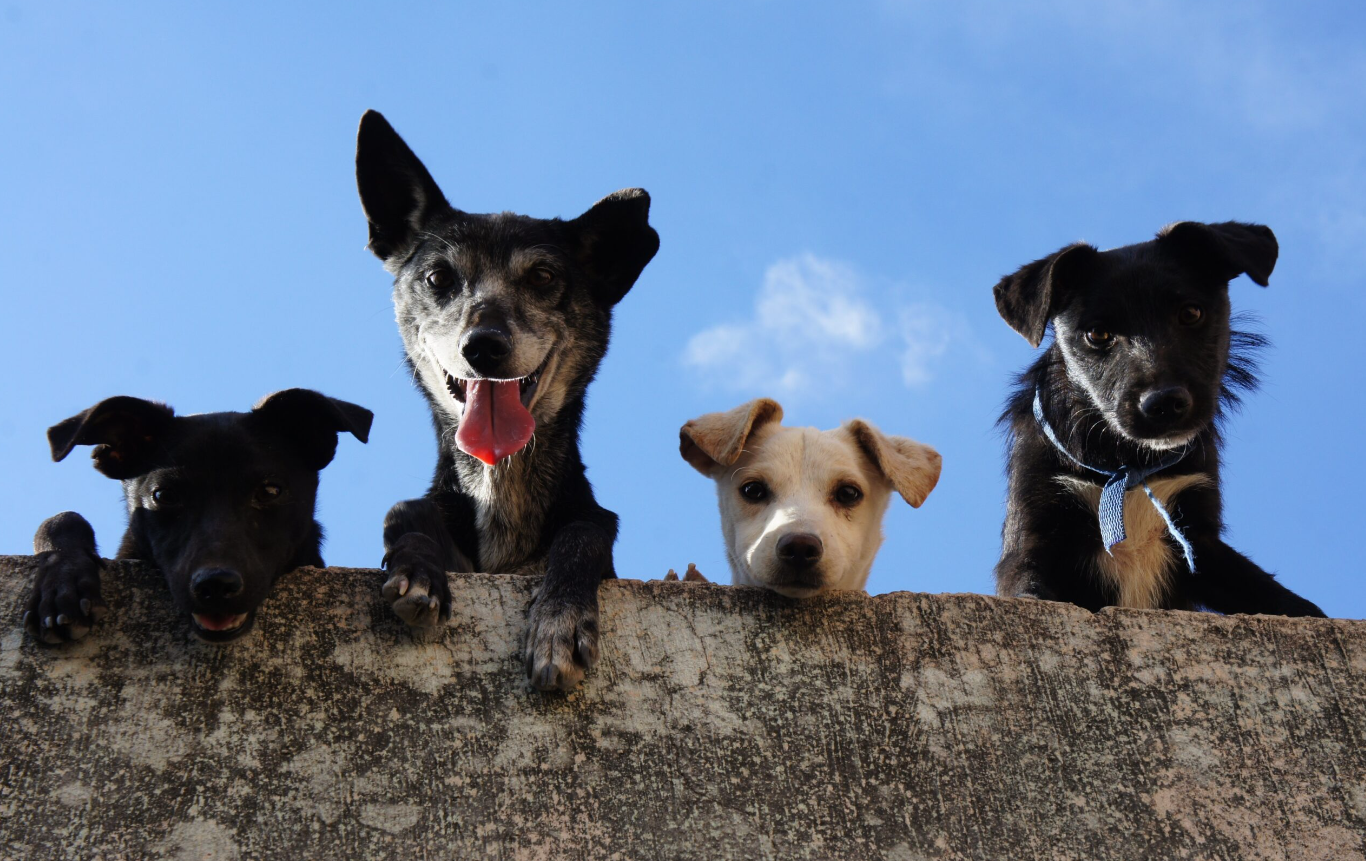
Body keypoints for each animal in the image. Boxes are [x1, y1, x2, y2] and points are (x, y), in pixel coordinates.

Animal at [355, 112, 658, 694]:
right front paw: (418, 572)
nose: (484, 345)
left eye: (542, 276)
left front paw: (560, 622)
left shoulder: (591, 531)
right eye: (439, 277)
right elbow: (403, 508)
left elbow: (585, 533)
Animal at [994, 218, 1322, 617]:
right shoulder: (1033, 533)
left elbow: (1276, 596)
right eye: (1097, 334)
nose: (1164, 403)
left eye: (1191, 313)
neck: (1128, 465)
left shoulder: (1199, 540)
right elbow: (1030, 588)